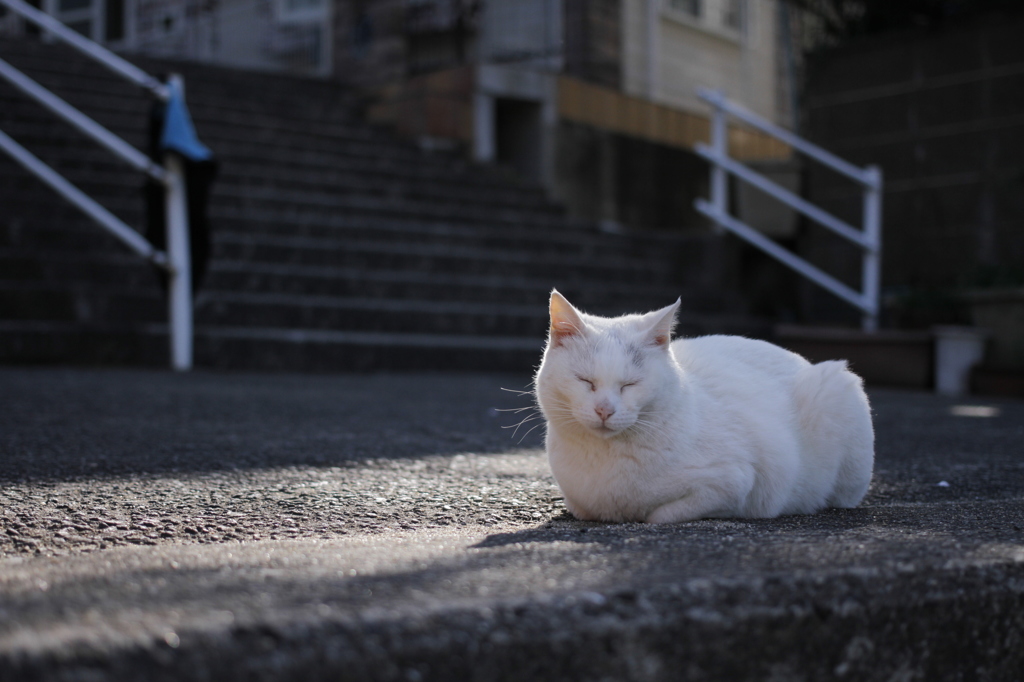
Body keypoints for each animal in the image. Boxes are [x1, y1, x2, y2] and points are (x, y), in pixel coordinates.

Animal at [532, 290, 876, 520]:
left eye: (630, 385)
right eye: (585, 381)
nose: (605, 410)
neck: (603, 461)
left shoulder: (735, 483)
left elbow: (660, 516)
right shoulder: (578, 502)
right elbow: (582, 509)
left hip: (838, 387)